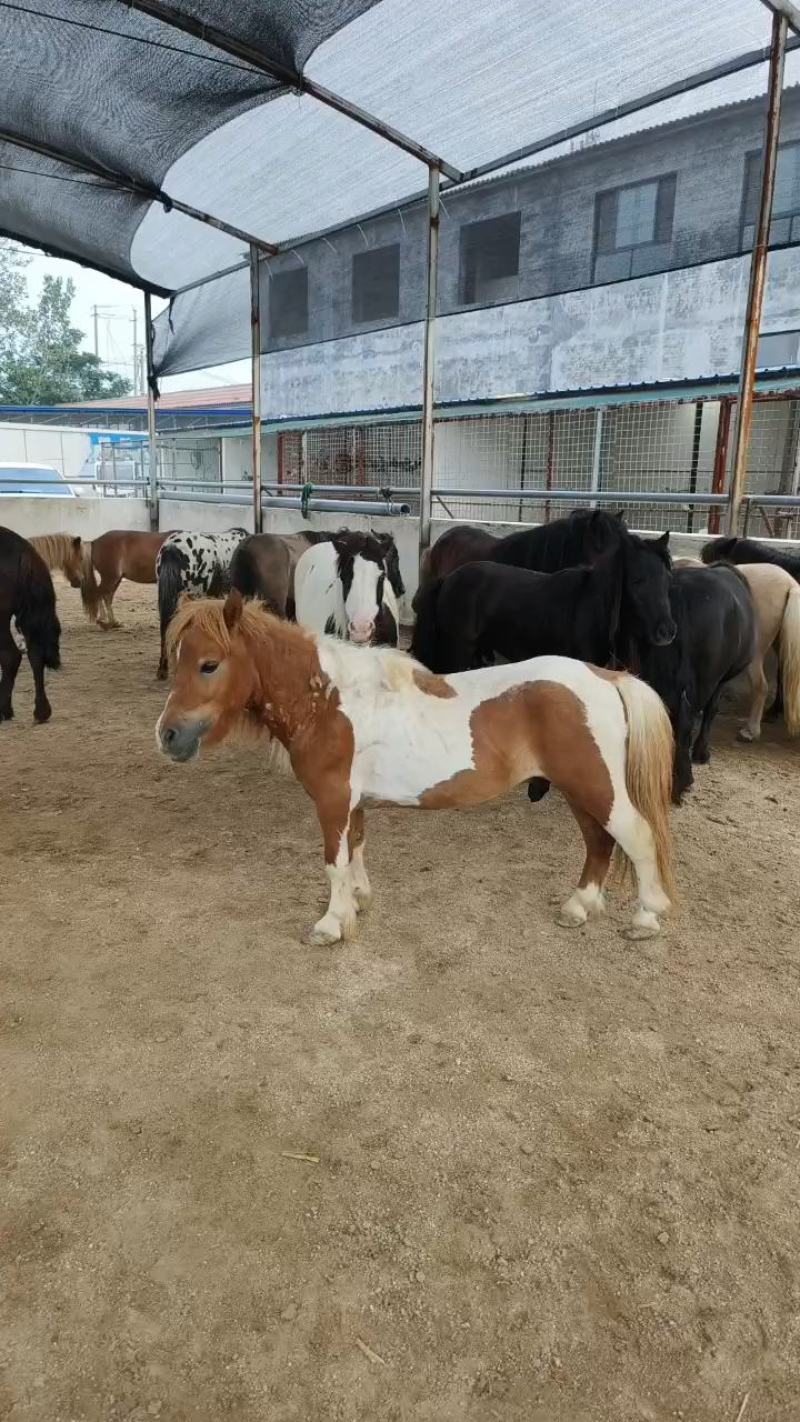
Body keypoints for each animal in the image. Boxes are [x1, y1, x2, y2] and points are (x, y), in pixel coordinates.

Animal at [157, 591, 677, 944]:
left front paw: (330, 924)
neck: (327, 701)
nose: (168, 735)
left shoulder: (332, 799)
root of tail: (606, 676)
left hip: (596, 787)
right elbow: (356, 850)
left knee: (636, 836)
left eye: (208, 664)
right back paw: (578, 907)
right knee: (599, 843)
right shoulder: (352, 802)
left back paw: (646, 918)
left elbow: (333, 861)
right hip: (580, 789)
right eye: (179, 659)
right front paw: (357, 903)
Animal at [410, 532, 675, 675]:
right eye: (637, 580)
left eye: (666, 578)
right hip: (457, 651)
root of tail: (447, 579)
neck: (589, 608)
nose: (667, 632)